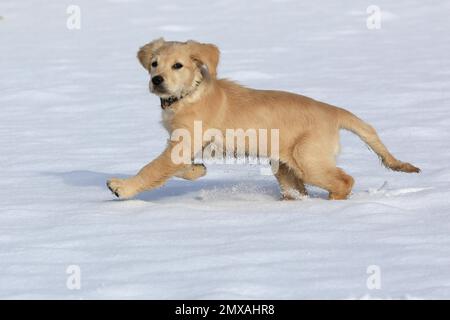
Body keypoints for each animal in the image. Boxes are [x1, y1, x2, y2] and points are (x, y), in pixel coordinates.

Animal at [107, 38, 420, 200]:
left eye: (178, 65)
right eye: (154, 64)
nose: (156, 80)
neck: (189, 94)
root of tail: (334, 111)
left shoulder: (184, 141)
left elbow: (153, 167)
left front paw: (122, 187)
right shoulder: (184, 143)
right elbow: (178, 167)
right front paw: (197, 171)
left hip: (309, 160)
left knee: (344, 180)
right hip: (285, 166)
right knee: (299, 191)